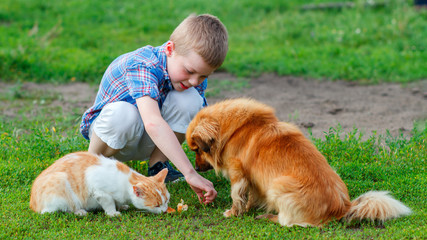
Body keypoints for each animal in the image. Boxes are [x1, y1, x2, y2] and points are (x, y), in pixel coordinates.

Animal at [29, 152, 171, 216]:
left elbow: (117, 201)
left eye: (166, 201)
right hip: (60, 182)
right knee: (63, 209)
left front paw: (121, 206)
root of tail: (33, 205)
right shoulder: (99, 189)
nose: (165, 210)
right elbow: (109, 202)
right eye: (157, 205)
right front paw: (113, 213)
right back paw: (80, 211)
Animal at [186, 98, 412, 227]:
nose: (195, 168)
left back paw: (269, 217)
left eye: (196, 150)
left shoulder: (238, 174)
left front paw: (233, 213)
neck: (234, 130)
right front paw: (249, 208)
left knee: (289, 223)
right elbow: (250, 197)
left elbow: (237, 196)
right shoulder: (253, 179)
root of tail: (343, 207)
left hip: (277, 185)